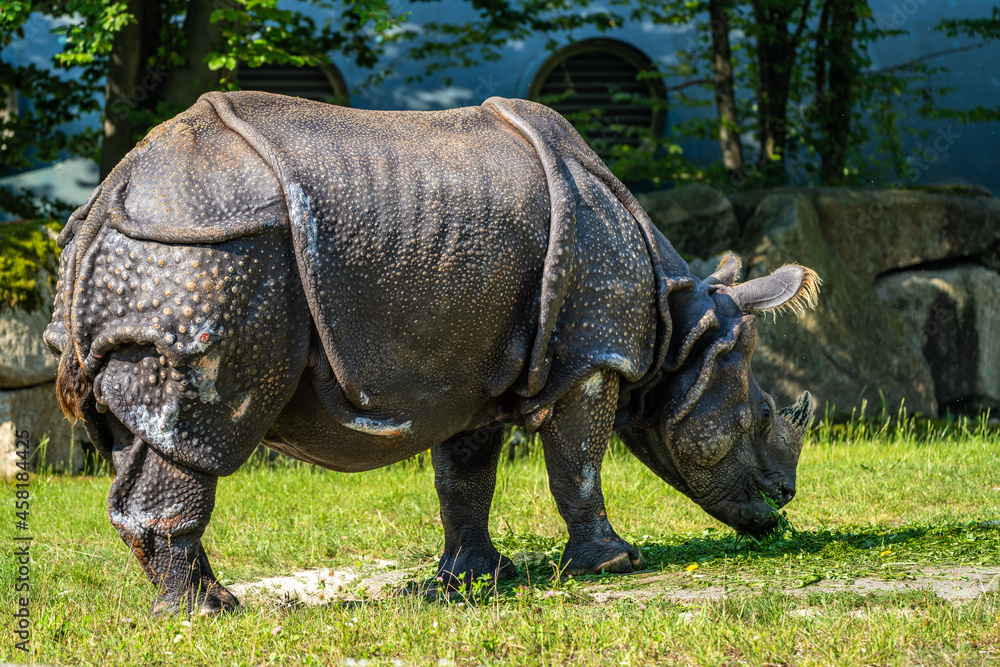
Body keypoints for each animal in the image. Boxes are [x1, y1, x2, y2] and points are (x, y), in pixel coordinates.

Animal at [45, 92, 818, 615]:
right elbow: (579, 464)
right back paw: (207, 613)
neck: (680, 327)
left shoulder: (469, 369)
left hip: (157, 260)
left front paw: (476, 579)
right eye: (766, 414)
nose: (783, 502)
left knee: (144, 432)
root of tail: (112, 192)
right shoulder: (592, 356)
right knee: (195, 431)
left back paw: (201, 606)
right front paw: (615, 565)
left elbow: (466, 477)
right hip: (206, 256)